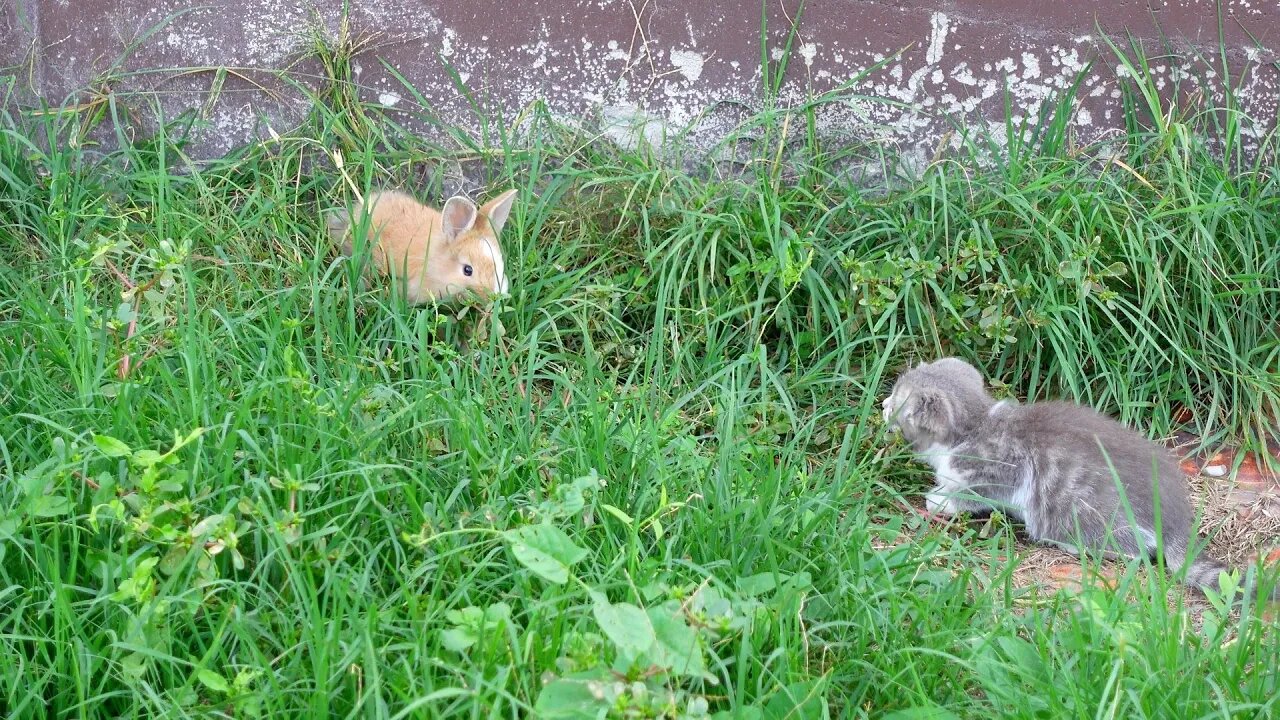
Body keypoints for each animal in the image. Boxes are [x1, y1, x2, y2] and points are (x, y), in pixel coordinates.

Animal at [880, 353, 1269, 599]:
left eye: (897, 400)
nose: (882, 404)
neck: (974, 426)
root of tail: (1172, 519)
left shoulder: (1002, 471)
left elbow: (975, 492)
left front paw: (943, 499)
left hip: (1080, 510)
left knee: (1134, 550)